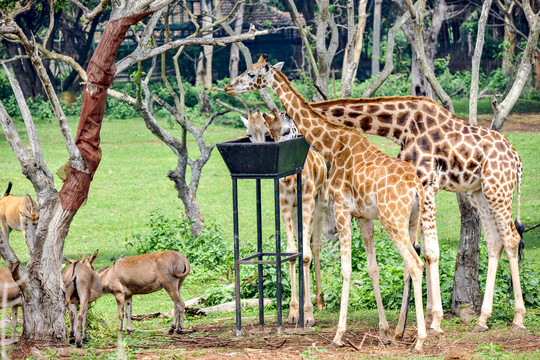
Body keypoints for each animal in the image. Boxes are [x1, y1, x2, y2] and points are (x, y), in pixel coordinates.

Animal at [242, 109, 330, 326]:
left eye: (287, 130)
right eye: (269, 133)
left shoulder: (307, 201)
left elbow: (305, 254)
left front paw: (308, 315)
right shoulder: (284, 205)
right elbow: (291, 252)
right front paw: (293, 312)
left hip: (321, 202)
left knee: (315, 246)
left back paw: (320, 302)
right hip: (298, 211)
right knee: (303, 244)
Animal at [310, 95, 524, 332]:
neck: (400, 126)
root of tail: (516, 158)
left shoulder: (426, 185)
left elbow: (431, 251)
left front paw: (435, 321)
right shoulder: (419, 191)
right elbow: (424, 252)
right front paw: (429, 316)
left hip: (498, 189)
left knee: (512, 238)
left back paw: (518, 318)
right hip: (480, 192)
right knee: (495, 241)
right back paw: (482, 319)